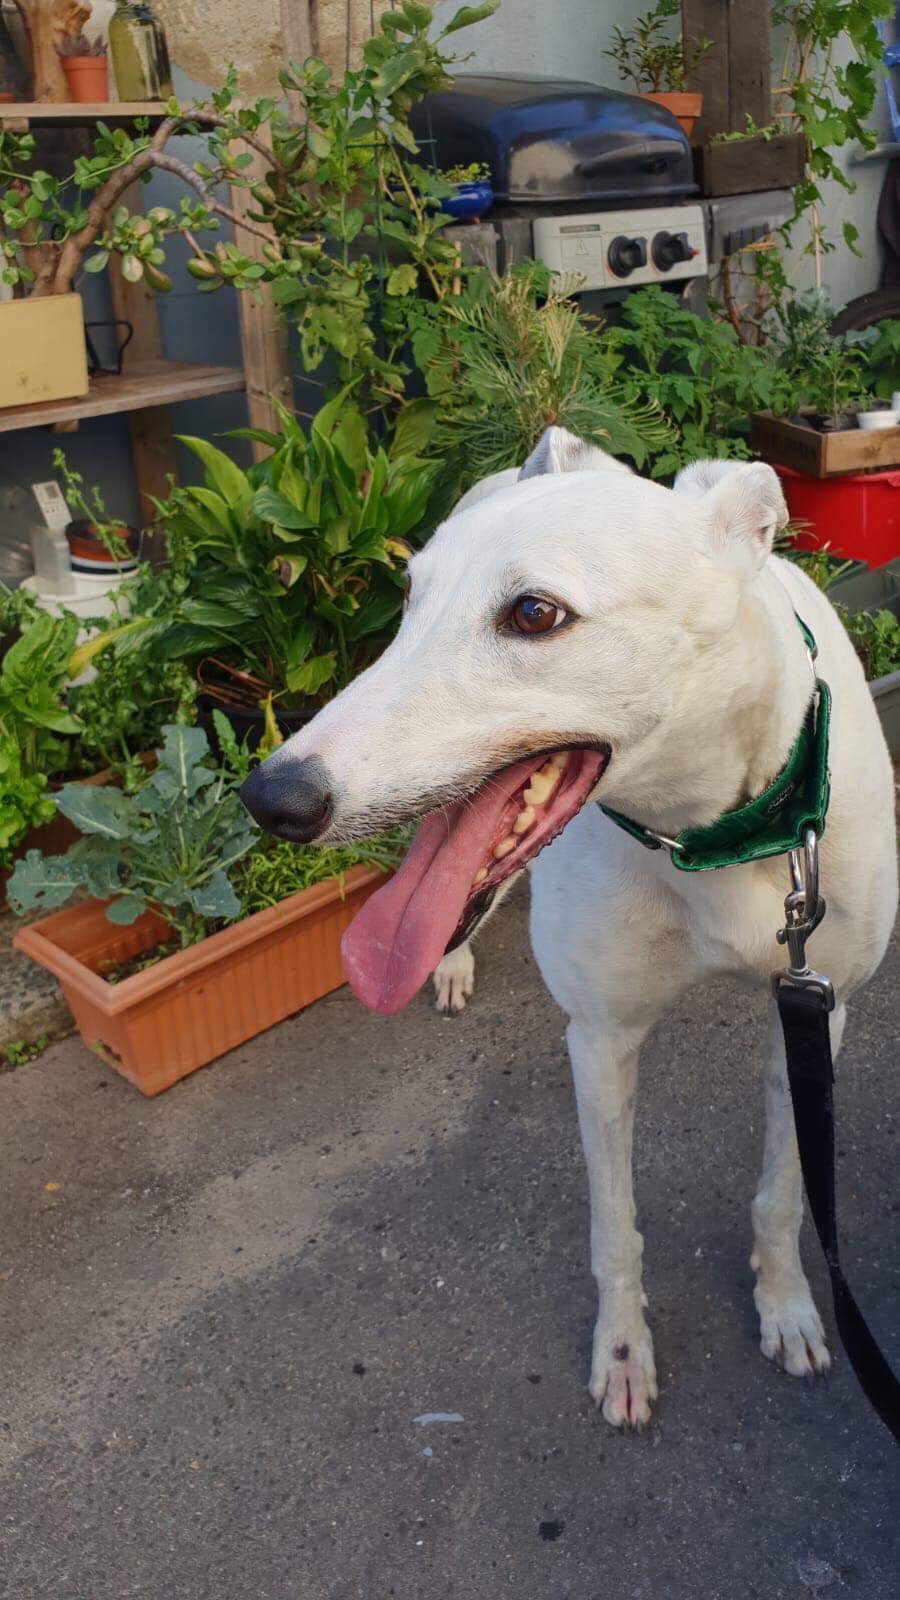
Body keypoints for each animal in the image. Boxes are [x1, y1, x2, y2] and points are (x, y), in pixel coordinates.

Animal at [241, 428, 897, 1427]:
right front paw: (623, 1353)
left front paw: (786, 1306)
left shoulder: (815, 1010)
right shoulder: (603, 1036)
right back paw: (451, 964)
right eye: (409, 603)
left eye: (534, 613)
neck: (708, 833)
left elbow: (785, 1189)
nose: (272, 799)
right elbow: (615, 1225)